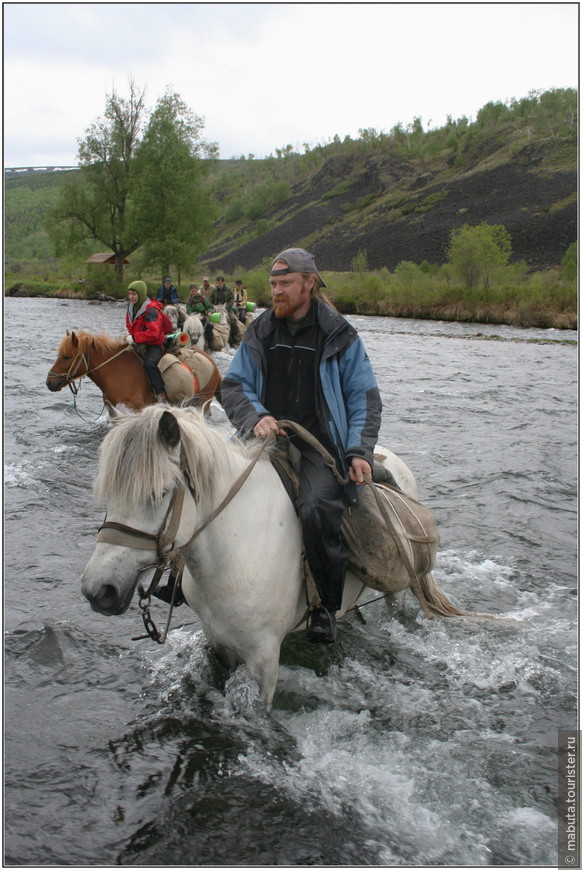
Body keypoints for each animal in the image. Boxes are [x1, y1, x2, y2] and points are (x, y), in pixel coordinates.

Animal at [45, 332, 221, 414]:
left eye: (66, 356)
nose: (49, 382)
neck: (115, 371)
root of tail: (213, 364)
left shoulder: (136, 407)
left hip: (202, 402)